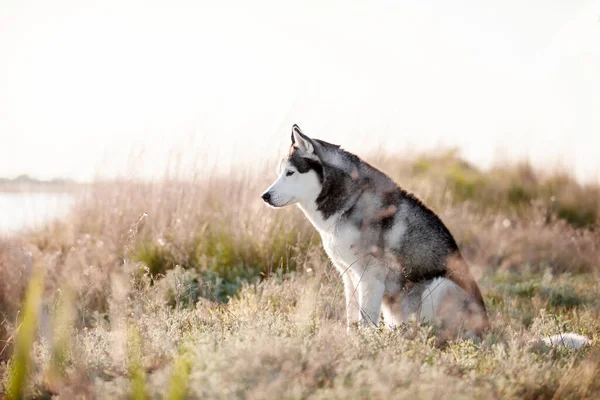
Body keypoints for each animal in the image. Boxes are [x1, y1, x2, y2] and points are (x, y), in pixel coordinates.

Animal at [262, 125, 492, 340]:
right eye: (279, 173)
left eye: (290, 172)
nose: (265, 196)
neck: (350, 202)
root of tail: (488, 331)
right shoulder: (349, 276)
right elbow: (352, 318)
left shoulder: (371, 277)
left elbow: (365, 320)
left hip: (439, 287)